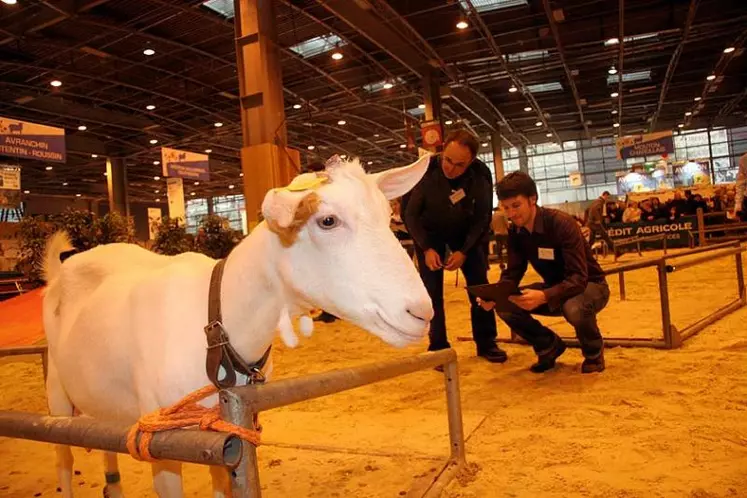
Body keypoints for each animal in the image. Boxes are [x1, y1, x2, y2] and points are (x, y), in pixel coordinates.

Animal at [42, 154, 438, 496]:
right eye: (327, 220)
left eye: (387, 215)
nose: (421, 312)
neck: (215, 323)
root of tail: (60, 269)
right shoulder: (159, 440)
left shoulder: (220, 435)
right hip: (57, 393)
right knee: (62, 456)